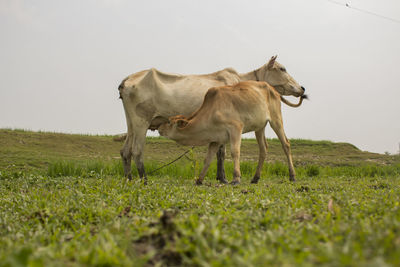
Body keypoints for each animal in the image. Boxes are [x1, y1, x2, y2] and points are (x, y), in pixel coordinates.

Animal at [157, 80, 306, 185]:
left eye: (169, 122)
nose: (159, 127)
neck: (211, 111)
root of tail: (272, 89)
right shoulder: (216, 140)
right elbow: (208, 158)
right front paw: (199, 179)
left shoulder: (236, 128)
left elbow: (235, 152)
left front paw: (236, 178)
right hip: (259, 127)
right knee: (263, 149)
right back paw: (255, 178)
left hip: (276, 120)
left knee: (286, 144)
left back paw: (292, 176)